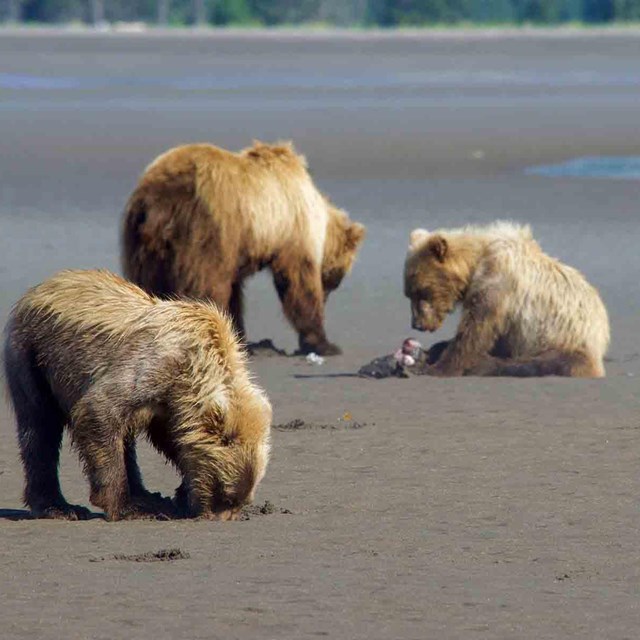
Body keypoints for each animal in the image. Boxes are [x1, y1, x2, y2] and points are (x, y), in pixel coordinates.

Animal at [3, 269, 272, 521]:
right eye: (225, 495)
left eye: (240, 501)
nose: (218, 517)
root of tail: (39, 288)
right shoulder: (154, 367)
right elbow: (98, 409)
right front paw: (124, 506)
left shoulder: (171, 406)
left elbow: (171, 440)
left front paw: (180, 495)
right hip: (33, 355)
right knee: (40, 426)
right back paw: (59, 506)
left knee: (124, 438)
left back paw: (147, 496)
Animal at [121, 140, 366, 356]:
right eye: (335, 279)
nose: (326, 296)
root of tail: (158, 201)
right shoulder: (291, 230)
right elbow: (298, 284)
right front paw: (325, 343)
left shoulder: (239, 247)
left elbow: (235, 293)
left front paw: (240, 336)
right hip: (204, 231)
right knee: (206, 288)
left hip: (143, 242)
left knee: (147, 284)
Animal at [404, 221, 610, 377]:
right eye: (409, 293)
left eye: (421, 292)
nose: (416, 324)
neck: (476, 263)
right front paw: (432, 351)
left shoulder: (498, 283)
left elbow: (475, 330)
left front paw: (435, 367)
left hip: (565, 340)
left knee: (540, 363)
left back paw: (484, 364)